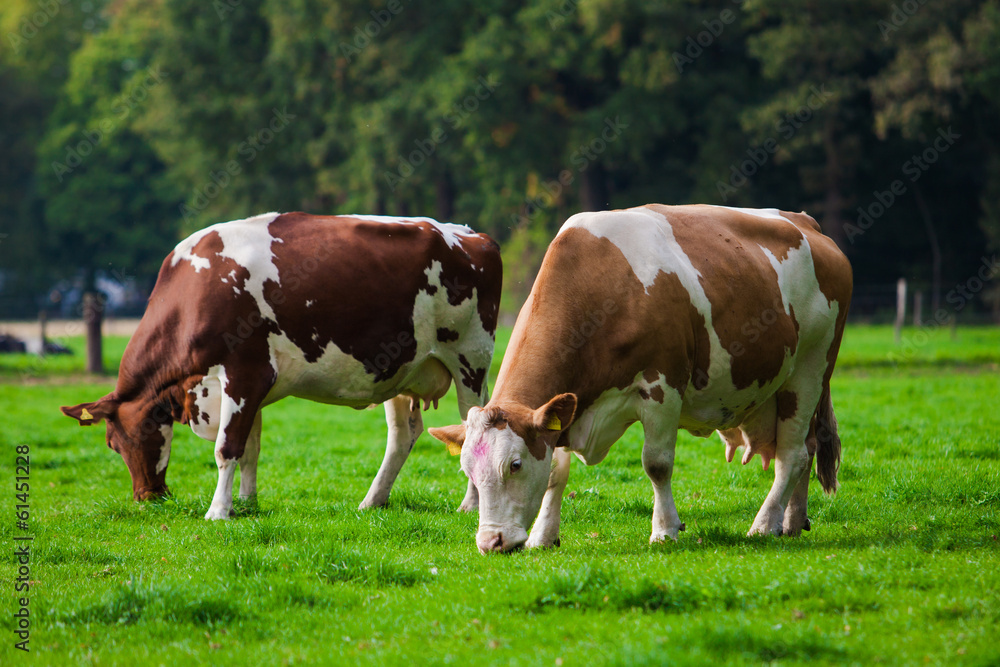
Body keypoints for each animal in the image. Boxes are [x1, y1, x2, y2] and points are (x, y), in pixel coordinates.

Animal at [60, 211, 500, 520]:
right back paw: (373, 500)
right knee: (403, 435)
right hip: (402, 369)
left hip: (470, 359)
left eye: (121, 441)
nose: (147, 498)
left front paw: (217, 512)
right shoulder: (249, 387)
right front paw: (246, 503)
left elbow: (227, 448)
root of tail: (471, 235)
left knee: (471, 425)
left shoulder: (244, 374)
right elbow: (250, 449)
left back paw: (469, 506)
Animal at [430, 204, 852, 552]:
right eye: (468, 470)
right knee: (806, 447)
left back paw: (764, 524)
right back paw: (791, 521)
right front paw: (543, 536)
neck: (603, 287)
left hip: (810, 370)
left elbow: (657, 464)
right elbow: (554, 473)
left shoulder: (663, 386)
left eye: (514, 465)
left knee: (793, 455)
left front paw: (664, 530)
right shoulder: (570, 402)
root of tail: (806, 223)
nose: (491, 542)